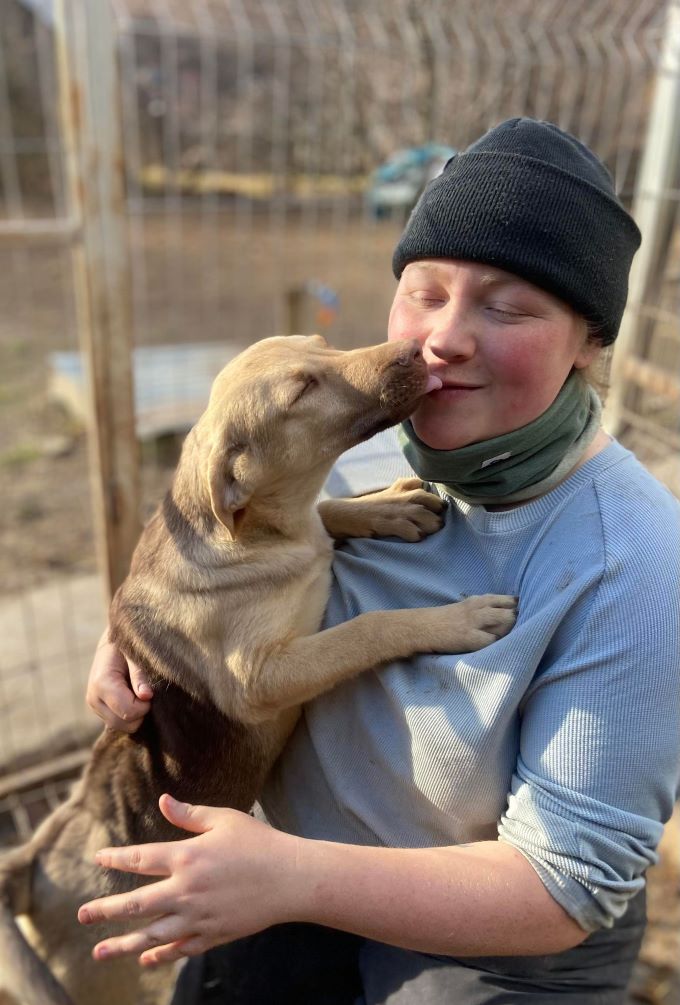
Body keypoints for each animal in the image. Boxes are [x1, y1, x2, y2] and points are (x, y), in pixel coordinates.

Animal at [0, 333, 514, 1000]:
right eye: (303, 390)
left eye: (321, 347)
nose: (414, 350)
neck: (255, 536)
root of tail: (31, 864)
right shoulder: (258, 677)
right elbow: (367, 627)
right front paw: (455, 619)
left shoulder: (306, 534)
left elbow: (329, 511)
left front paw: (388, 510)